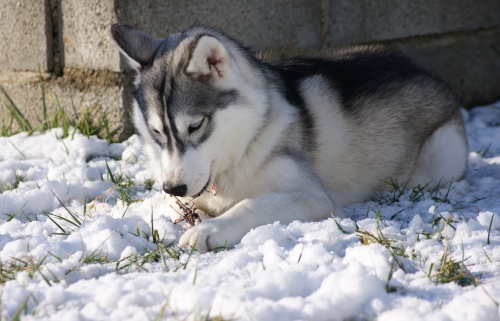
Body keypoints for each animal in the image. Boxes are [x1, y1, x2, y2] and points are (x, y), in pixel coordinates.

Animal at [110, 23, 468, 251]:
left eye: (196, 126)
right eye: (157, 132)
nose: (173, 187)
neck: (247, 142)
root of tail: (418, 67)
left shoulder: (312, 197)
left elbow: (252, 203)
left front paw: (211, 228)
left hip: (438, 164)